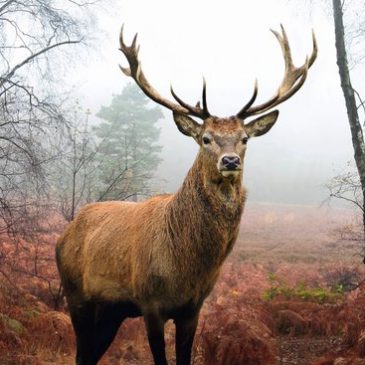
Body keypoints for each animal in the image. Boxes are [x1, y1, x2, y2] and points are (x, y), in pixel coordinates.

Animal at [56, 24, 316, 362]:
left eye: (244, 138)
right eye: (206, 138)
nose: (229, 161)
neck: (185, 267)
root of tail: (64, 235)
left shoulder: (193, 307)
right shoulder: (150, 303)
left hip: (111, 311)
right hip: (76, 296)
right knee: (80, 352)